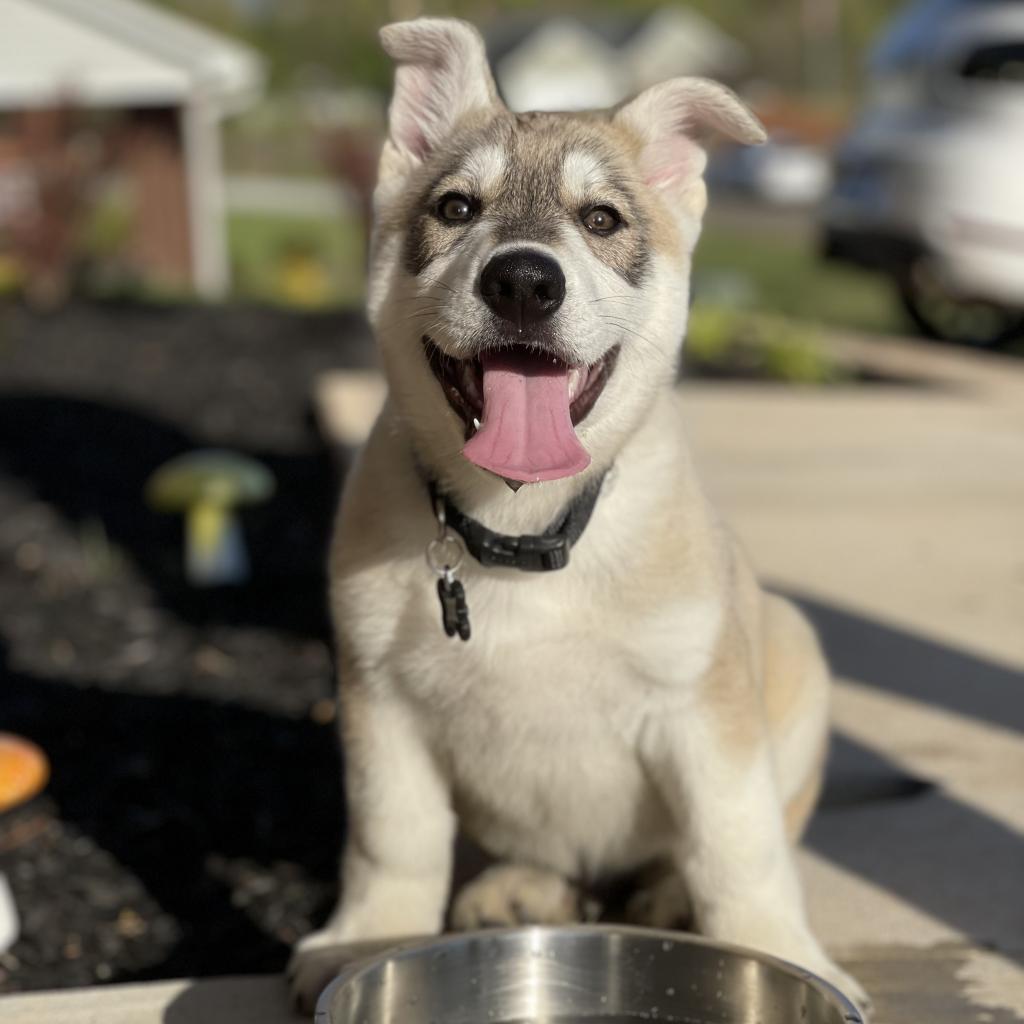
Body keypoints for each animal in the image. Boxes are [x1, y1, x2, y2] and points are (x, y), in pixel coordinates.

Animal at [290, 19, 872, 1019]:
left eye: (601, 220)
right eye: (455, 207)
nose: (524, 281)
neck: (523, 533)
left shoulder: (704, 710)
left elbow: (740, 847)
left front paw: (780, 951)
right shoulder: (381, 704)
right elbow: (393, 842)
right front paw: (366, 939)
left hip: (794, 651)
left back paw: (665, 894)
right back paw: (517, 886)